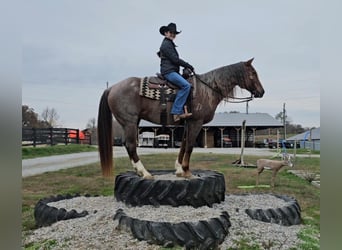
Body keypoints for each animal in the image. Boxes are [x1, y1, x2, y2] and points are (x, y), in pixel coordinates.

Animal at [98, 58, 264, 178]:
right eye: (253, 73)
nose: (261, 92)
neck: (206, 90)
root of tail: (112, 88)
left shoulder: (187, 123)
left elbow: (183, 144)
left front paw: (178, 169)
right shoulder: (196, 122)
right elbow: (190, 145)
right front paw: (187, 171)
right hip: (130, 122)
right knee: (131, 145)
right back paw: (144, 173)